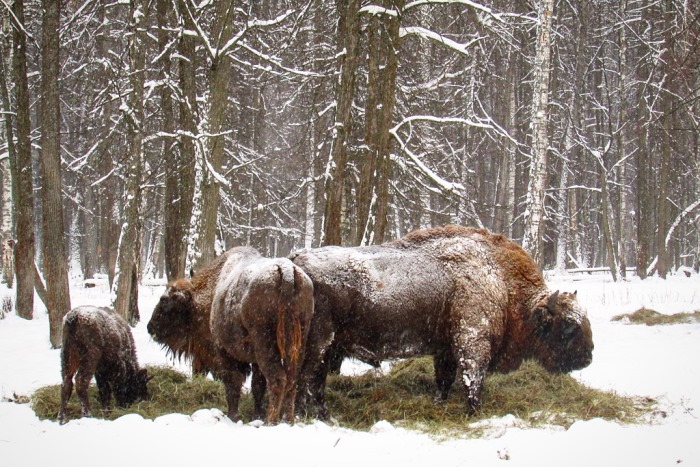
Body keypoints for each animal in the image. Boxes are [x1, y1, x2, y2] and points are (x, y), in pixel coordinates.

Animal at [149, 247, 314, 426]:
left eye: (164, 300)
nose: (150, 327)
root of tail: (287, 271)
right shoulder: (255, 361)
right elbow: (257, 385)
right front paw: (256, 414)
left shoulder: (224, 351)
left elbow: (233, 383)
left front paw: (234, 416)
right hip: (298, 342)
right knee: (291, 380)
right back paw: (287, 420)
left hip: (265, 344)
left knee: (277, 379)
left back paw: (270, 422)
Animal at [292, 227, 592, 420]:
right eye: (568, 326)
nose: (588, 357)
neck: (501, 282)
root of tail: (296, 261)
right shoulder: (472, 342)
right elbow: (473, 379)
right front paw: (474, 412)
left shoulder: (445, 348)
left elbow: (445, 379)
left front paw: (440, 402)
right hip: (320, 344)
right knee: (307, 379)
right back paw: (312, 415)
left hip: (326, 348)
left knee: (313, 382)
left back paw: (319, 415)